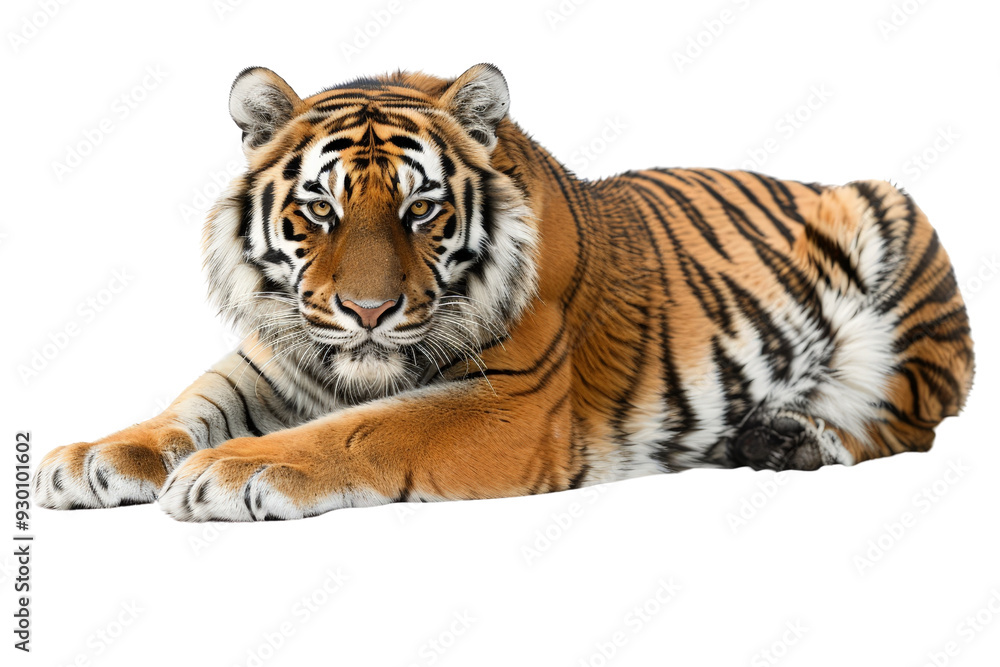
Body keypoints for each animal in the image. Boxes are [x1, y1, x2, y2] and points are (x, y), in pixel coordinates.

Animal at [32, 63, 974, 522]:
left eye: (419, 209)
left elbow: (370, 427)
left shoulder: (515, 401)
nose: (367, 312)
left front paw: (235, 468)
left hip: (892, 238)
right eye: (320, 210)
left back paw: (793, 436)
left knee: (911, 420)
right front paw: (92, 457)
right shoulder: (274, 354)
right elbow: (187, 406)